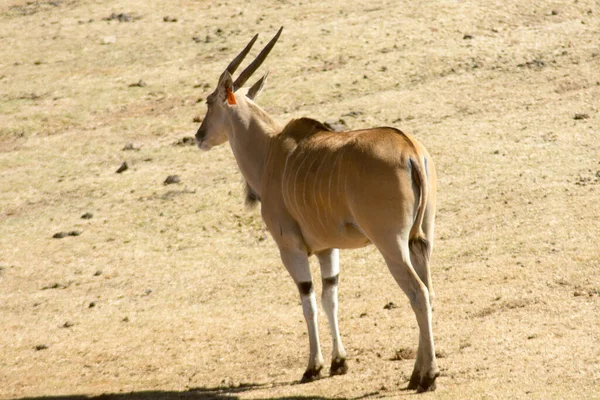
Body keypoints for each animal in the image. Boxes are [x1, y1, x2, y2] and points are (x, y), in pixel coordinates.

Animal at [197, 28, 440, 394]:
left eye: (210, 102)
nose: (198, 136)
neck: (271, 152)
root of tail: (410, 150)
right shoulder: (328, 249)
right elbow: (330, 296)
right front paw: (340, 362)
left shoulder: (291, 248)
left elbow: (308, 302)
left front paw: (313, 367)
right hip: (420, 240)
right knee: (428, 289)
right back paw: (417, 372)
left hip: (391, 245)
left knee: (417, 292)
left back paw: (427, 377)